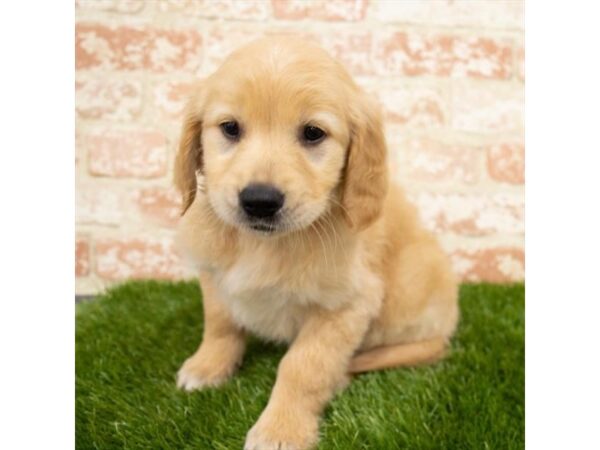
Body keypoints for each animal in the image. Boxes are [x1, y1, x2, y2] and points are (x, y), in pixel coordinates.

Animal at [173, 38, 460, 450]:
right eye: (230, 128)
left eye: (313, 133)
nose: (260, 200)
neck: (265, 245)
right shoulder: (215, 275)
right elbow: (220, 325)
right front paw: (208, 366)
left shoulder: (345, 306)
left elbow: (303, 366)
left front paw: (281, 430)